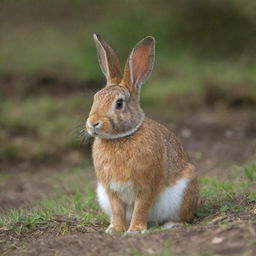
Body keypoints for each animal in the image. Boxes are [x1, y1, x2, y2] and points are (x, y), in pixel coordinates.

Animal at [86, 34, 200, 234]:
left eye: (119, 103)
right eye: (95, 98)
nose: (93, 124)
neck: (121, 138)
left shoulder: (146, 185)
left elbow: (141, 207)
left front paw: (136, 230)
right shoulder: (110, 190)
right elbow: (117, 209)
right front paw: (115, 229)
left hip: (184, 192)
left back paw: (171, 224)